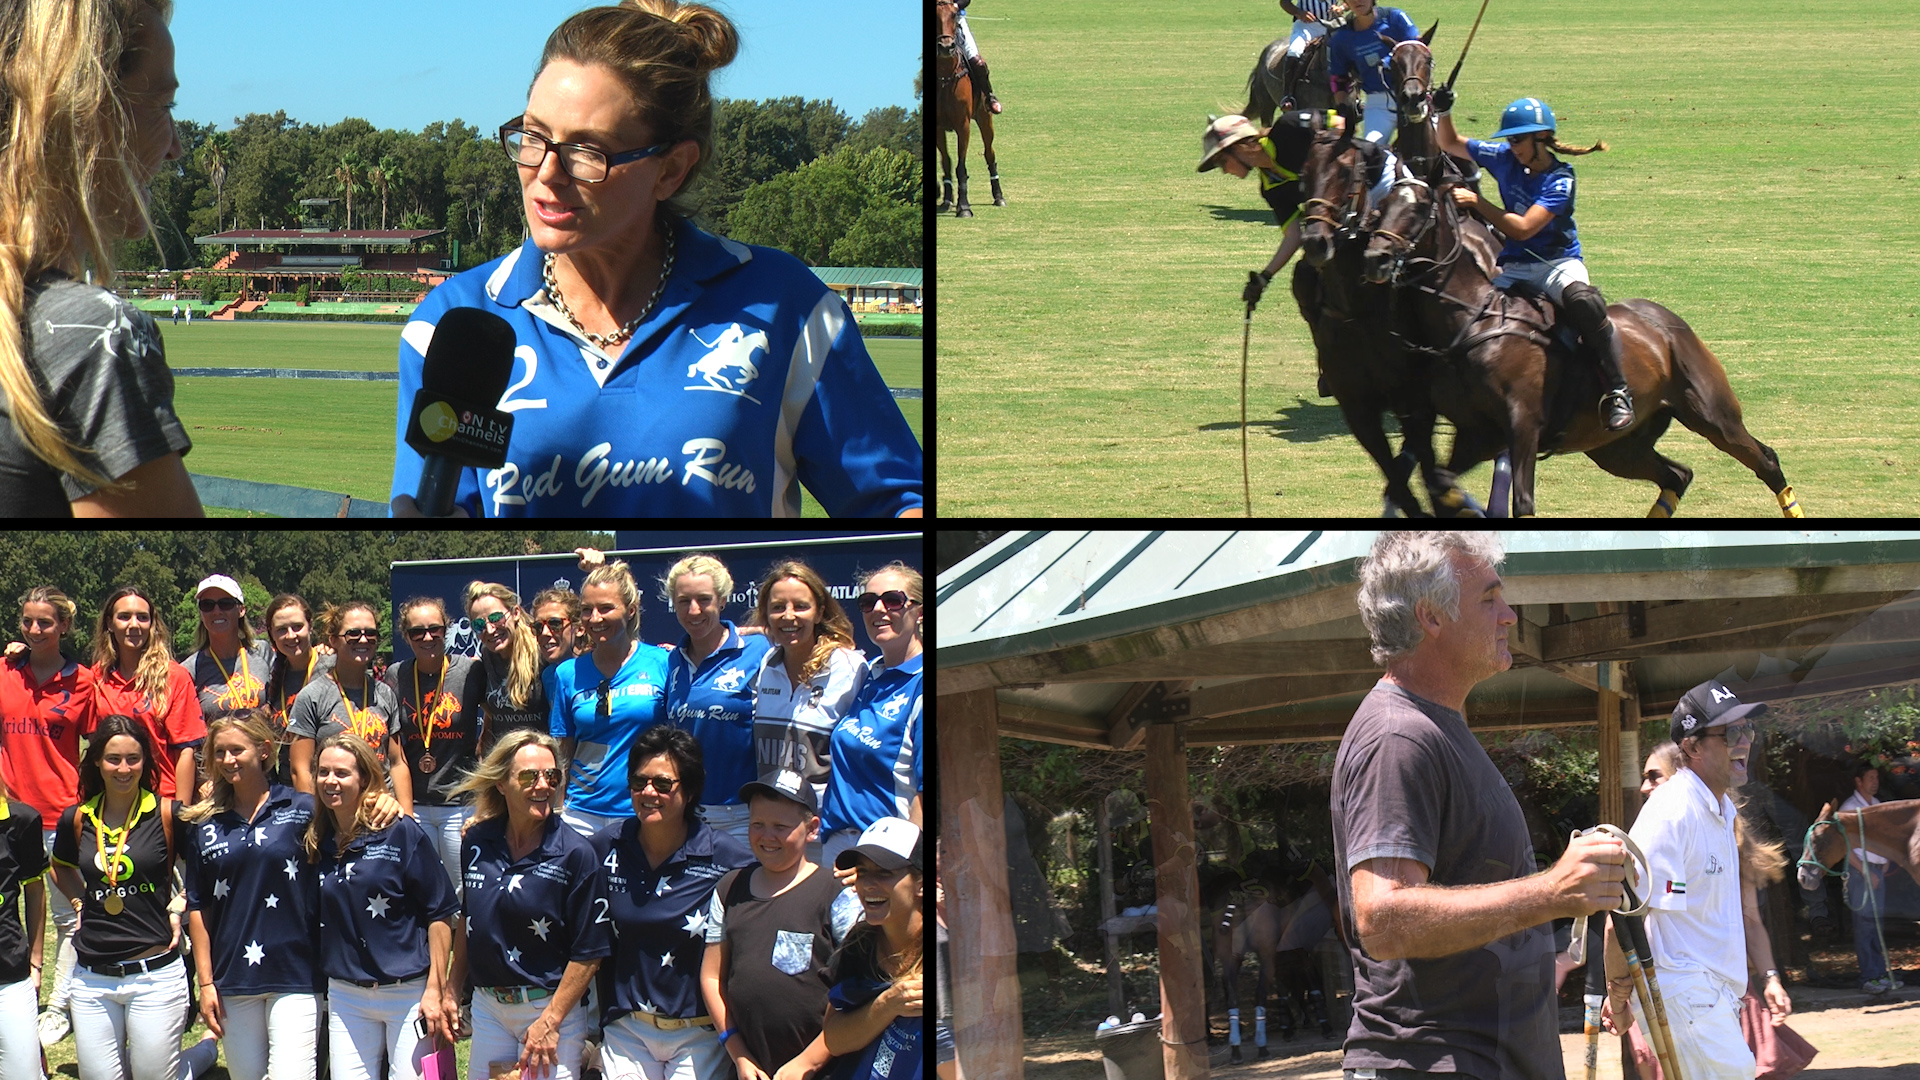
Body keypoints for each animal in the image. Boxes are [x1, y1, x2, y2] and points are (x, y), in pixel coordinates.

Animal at [933, 0, 1006, 219]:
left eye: (954, 15)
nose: (946, 47)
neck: (945, 76)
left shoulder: (963, 125)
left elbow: (961, 166)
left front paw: (963, 207)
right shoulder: (938, 128)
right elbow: (947, 163)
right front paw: (947, 201)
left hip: (984, 118)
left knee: (990, 154)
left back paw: (999, 196)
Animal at [1351, 156, 1797, 518]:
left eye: (1418, 208)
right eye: (1382, 207)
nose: (1375, 259)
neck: (1472, 320)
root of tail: (1667, 322)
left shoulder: (1522, 426)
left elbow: (1522, 502)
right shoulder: (1476, 433)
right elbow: (1441, 481)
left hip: (1712, 415)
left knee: (1766, 461)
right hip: (1615, 447)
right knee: (1677, 474)